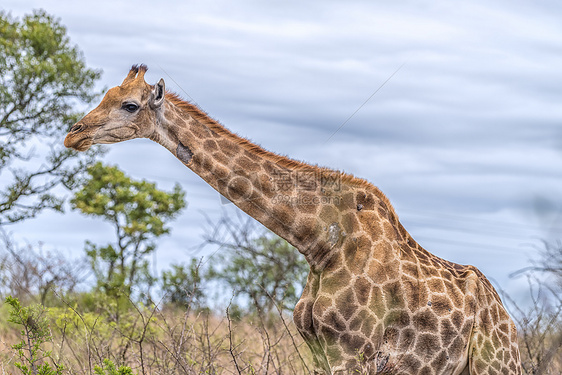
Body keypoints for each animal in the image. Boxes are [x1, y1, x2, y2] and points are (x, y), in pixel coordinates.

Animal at [63, 65, 520, 375]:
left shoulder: (355, 354)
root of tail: (510, 324)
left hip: (496, 365)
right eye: (105, 95)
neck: (318, 243)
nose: (74, 133)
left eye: (129, 105)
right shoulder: (319, 353)